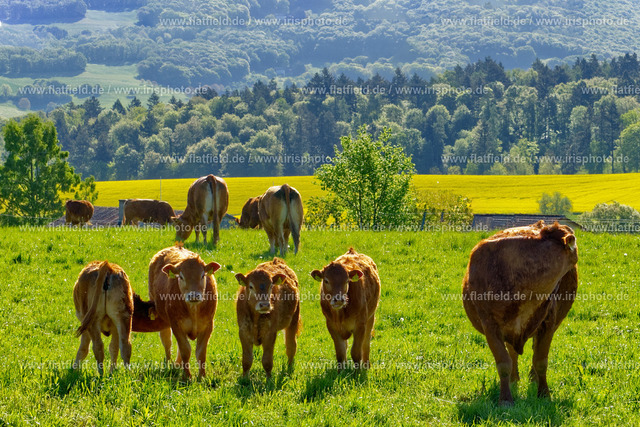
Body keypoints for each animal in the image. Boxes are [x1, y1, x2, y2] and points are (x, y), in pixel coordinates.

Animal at [148, 246, 221, 378]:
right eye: (181, 276)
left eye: (202, 275)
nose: (194, 295)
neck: (193, 310)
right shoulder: (176, 325)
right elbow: (185, 350)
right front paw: (187, 376)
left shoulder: (208, 325)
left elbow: (200, 352)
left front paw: (202, 376)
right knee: (167, 340)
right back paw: (170, 364)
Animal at [462, 221, 578, 405]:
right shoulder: (490, 326)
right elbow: (504, 363)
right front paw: (505, 399)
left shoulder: (548, 324)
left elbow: (540, 361)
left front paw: (544, 394)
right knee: (512, 353)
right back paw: (514, 378)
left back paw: (533, 378)